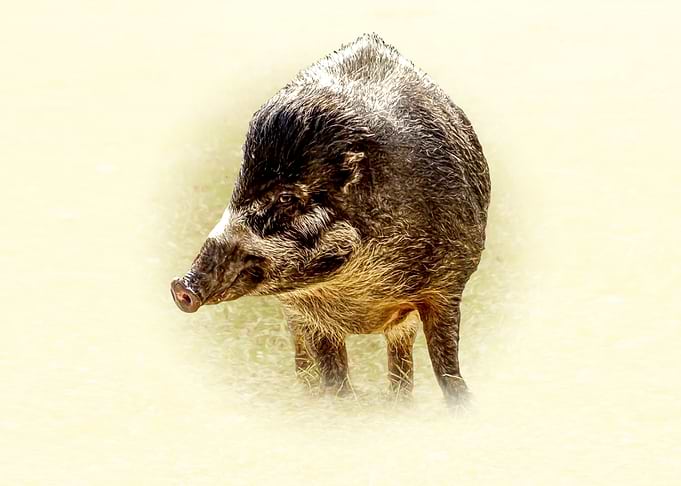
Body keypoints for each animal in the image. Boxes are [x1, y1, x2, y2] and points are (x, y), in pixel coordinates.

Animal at [171, 33, 491, 405]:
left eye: (286, 197)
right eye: (237, 189)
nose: (180, 287)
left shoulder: (449, 285)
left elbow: (447, 370)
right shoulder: (309, 309)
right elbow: (334, 378)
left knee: (400, 354)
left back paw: (400, 402)